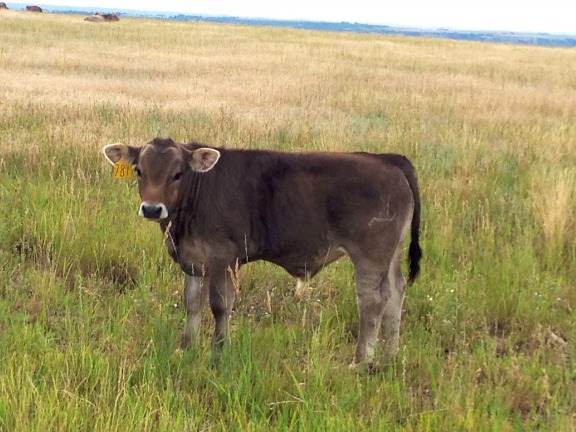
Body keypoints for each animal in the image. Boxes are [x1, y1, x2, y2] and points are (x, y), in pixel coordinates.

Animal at [102, 138, 424, 372]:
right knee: (396, 293)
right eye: (139, 171)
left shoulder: (223, 258)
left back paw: (360, 363)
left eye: (177, 174)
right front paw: (186, 349)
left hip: (370, 255)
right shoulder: (195, 262)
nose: (151, 208)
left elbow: (219, 305)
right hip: (391, 255)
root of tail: (387, 159)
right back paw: (390, 356)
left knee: (373, 301)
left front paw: (218, 353)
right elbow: (192, 303)